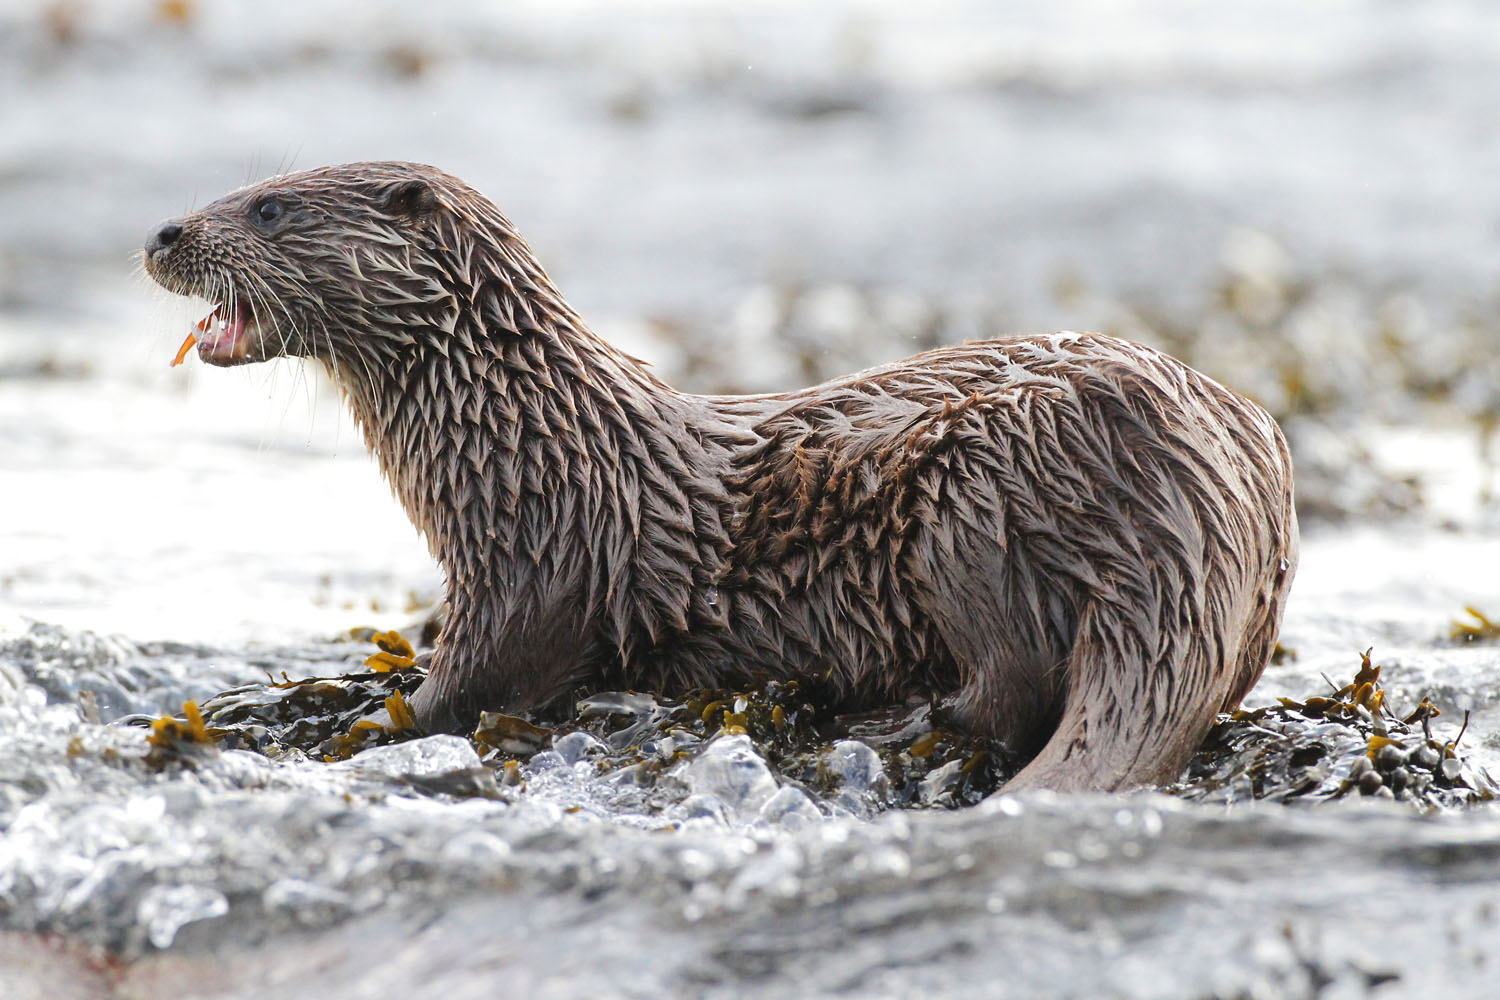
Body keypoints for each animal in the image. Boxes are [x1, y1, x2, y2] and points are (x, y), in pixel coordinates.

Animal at [141, 160, 1296, 791]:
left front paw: (364, 716)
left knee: (1009, 685)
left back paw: (891, 722)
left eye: (270, 207)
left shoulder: (535, 566)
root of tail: (1213, 502)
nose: (161, 231)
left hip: (979, 494)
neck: (522, 443)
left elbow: (471, 684)